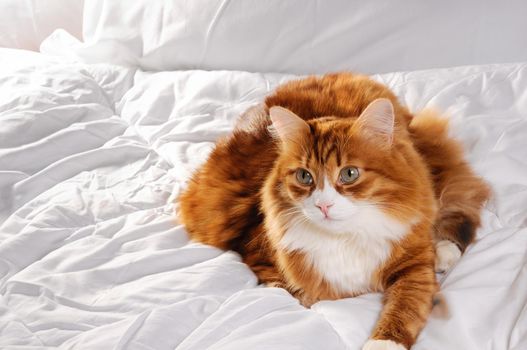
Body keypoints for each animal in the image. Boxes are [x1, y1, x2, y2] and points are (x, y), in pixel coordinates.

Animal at [177, 72, 490, 348]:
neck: (346, 238)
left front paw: (382, 344)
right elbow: (290, 291)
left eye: (349, 174)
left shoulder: (413, 265)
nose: (323, 205)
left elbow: (404, 308)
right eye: (305, 177)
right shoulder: (259, 250)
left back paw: (444, 251)